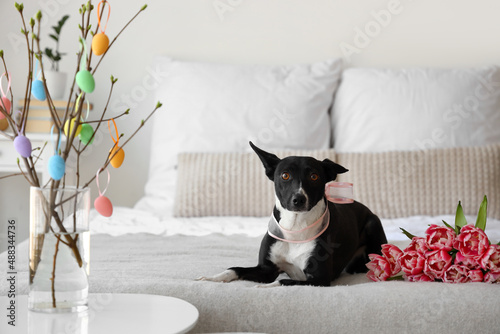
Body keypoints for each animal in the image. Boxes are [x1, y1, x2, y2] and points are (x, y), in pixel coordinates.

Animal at [199, 142, 386, 286]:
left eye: (314, 176)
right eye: (285, 175)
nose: (299, 199)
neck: (295, 229)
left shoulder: (319, 279)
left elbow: (283, 281)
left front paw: (265, 287)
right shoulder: (266, 270)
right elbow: (234, 269)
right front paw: (213, 278)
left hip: (372, 224)